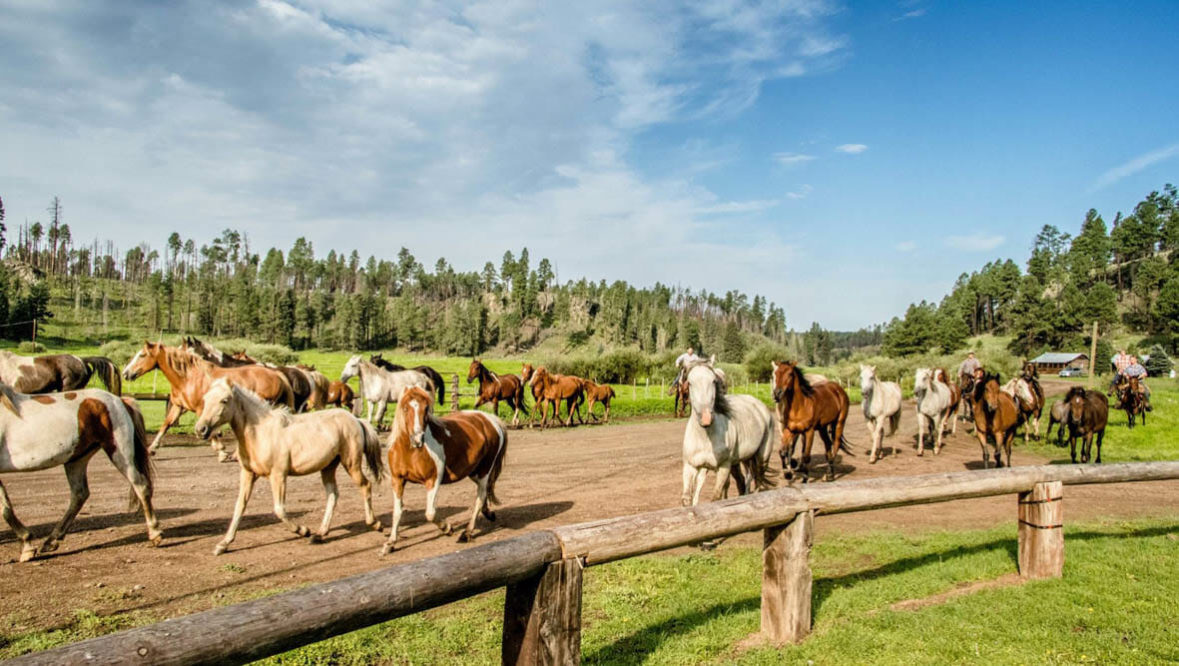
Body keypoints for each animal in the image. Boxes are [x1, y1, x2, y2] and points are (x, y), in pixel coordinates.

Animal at [0, 383, 160, 562]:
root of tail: (120, 401)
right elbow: (5, 507)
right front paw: (27, 546)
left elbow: (5, 510)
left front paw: (27, 547)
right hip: (76, 460)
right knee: (80, 494)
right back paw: (51, 541)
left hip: (120, 453)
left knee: (141, 486)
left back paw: (155, 534)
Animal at [193, 378, 385, 555]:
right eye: (205, 398)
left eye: (224, 400)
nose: (201, 429)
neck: (260, 433)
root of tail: (356, 420)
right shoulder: (248, 474)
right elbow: (239, 506)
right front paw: (223, 544)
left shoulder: (278, 475)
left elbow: (279, 509)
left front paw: (303, 530)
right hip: (328, 466)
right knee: (333, 494)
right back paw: (320, 534)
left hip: (351, 463)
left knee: (365, 485)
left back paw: (375, 524)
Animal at [381, 385, 507, 554]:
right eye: (405, 408)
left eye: (426, 408)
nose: (417, 439)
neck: (410, 451)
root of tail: (491, 420)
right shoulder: (397, 480)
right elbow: (397, 512)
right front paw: (390, 544)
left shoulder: (433, 480)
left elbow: (430, 513)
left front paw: (447, 528)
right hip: (473, 472)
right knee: (486, 491)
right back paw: (488, 514)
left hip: (484, 471)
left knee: (480, 497)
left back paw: (467, 533)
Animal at [681, 360, 775, 506]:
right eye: (690, 383)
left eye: (713, 381)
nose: (706, 418)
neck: (705, 438)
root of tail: (760, 406)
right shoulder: (690, 466)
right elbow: (687, 499)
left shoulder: (724, 467)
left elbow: (716, 497)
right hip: (739, 462)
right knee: (742, 481)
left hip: (762, 457)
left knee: (758, 481)